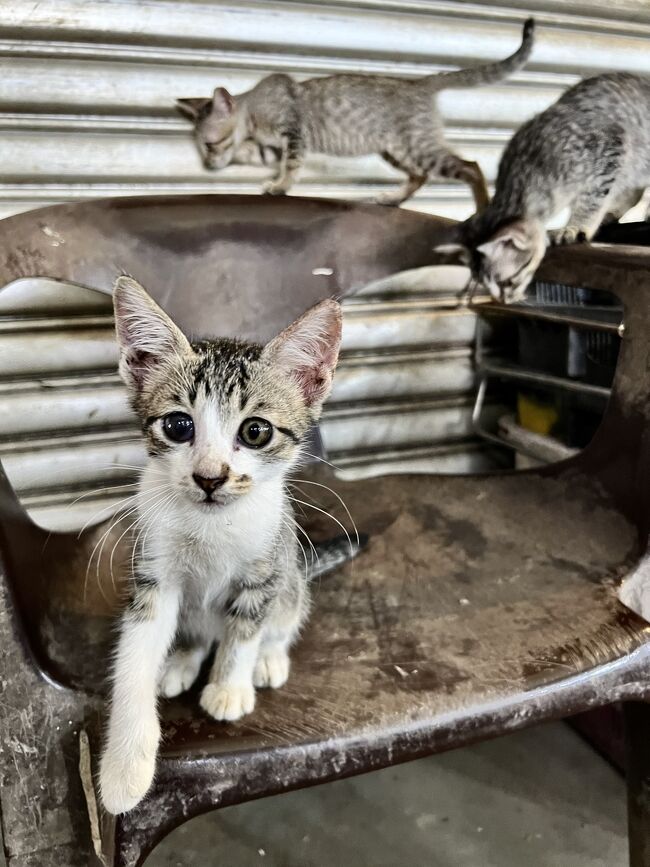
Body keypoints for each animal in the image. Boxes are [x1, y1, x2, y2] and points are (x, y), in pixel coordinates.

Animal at [98, 278, 342, 812]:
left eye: (255, 431)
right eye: (178, 426)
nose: (210, 478)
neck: (210, 524)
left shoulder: (265, 569)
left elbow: (244, 632)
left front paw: (229, 687)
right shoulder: (153, 575)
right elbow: (133, 657)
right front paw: (125, 767)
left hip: (291, 577)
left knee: (282, 617)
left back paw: (270, 659)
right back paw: (182, 660)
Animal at [176, 18, 532, 209]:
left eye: (209, 144)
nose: (208, 165)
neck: (254, 113)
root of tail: (420, 83)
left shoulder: (293, 132)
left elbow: (291, 165)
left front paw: (280, 186)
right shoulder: (272, 147)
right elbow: (257, 154)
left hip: (416, 145)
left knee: (470, 167)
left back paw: (482, 209)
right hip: (395, 149)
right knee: (420, 175)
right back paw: (392, 199)